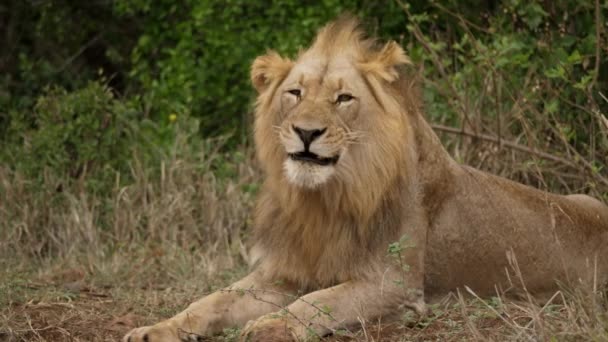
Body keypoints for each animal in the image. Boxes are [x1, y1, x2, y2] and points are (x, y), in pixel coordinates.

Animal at [124, 16, 608, 342]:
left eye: (343, 99)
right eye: (295, 93)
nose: (307, 132)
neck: (323, 199)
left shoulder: (393, 285)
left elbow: (318, 303)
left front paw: (270, 326)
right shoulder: (283, 272)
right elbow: (212, 299)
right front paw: (156, 328)